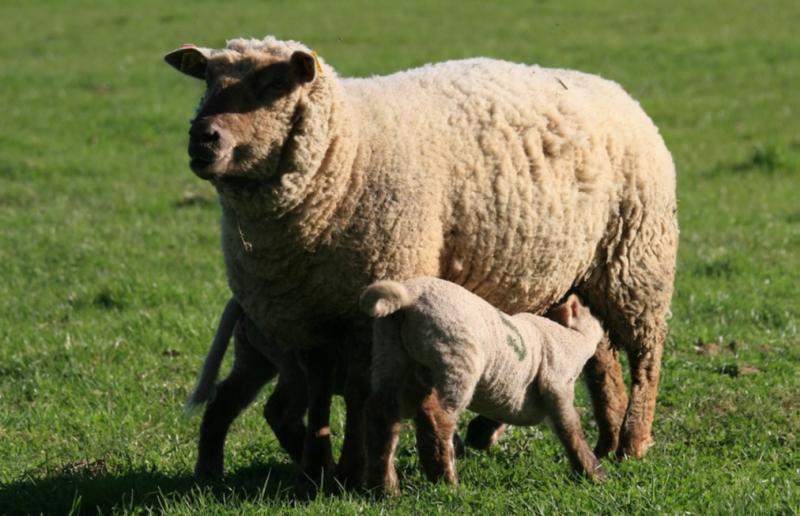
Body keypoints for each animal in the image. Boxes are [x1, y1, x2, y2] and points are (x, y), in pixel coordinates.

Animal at [360, 278, 605, 494]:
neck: (572, 339)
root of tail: (409, 296)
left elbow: (501, 414)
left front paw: (479, 436)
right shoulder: (557, 383)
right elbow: (570, 429)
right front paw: (593, 474)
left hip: (389, 356)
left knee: (382, 416)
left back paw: (385, 488)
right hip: (455, 359)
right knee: (436, 417)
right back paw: (448, 485)